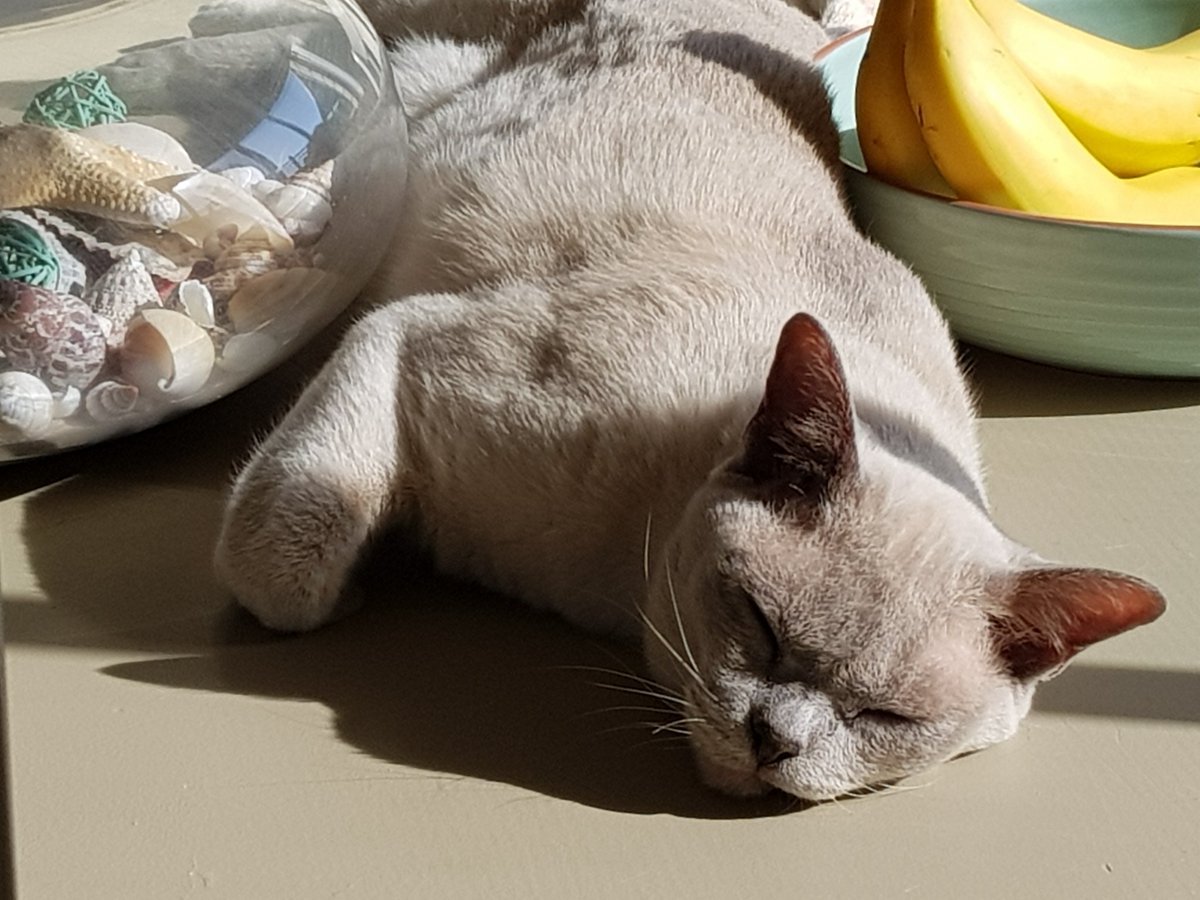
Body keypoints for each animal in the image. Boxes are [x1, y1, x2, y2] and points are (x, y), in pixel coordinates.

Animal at [213, 0, 1161, 801]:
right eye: (762, 626)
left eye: (884, 717)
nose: (775, 742)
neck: (612, 594)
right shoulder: (406, 338)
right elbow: (286, 571)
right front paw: (352, 591)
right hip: (407, 91)